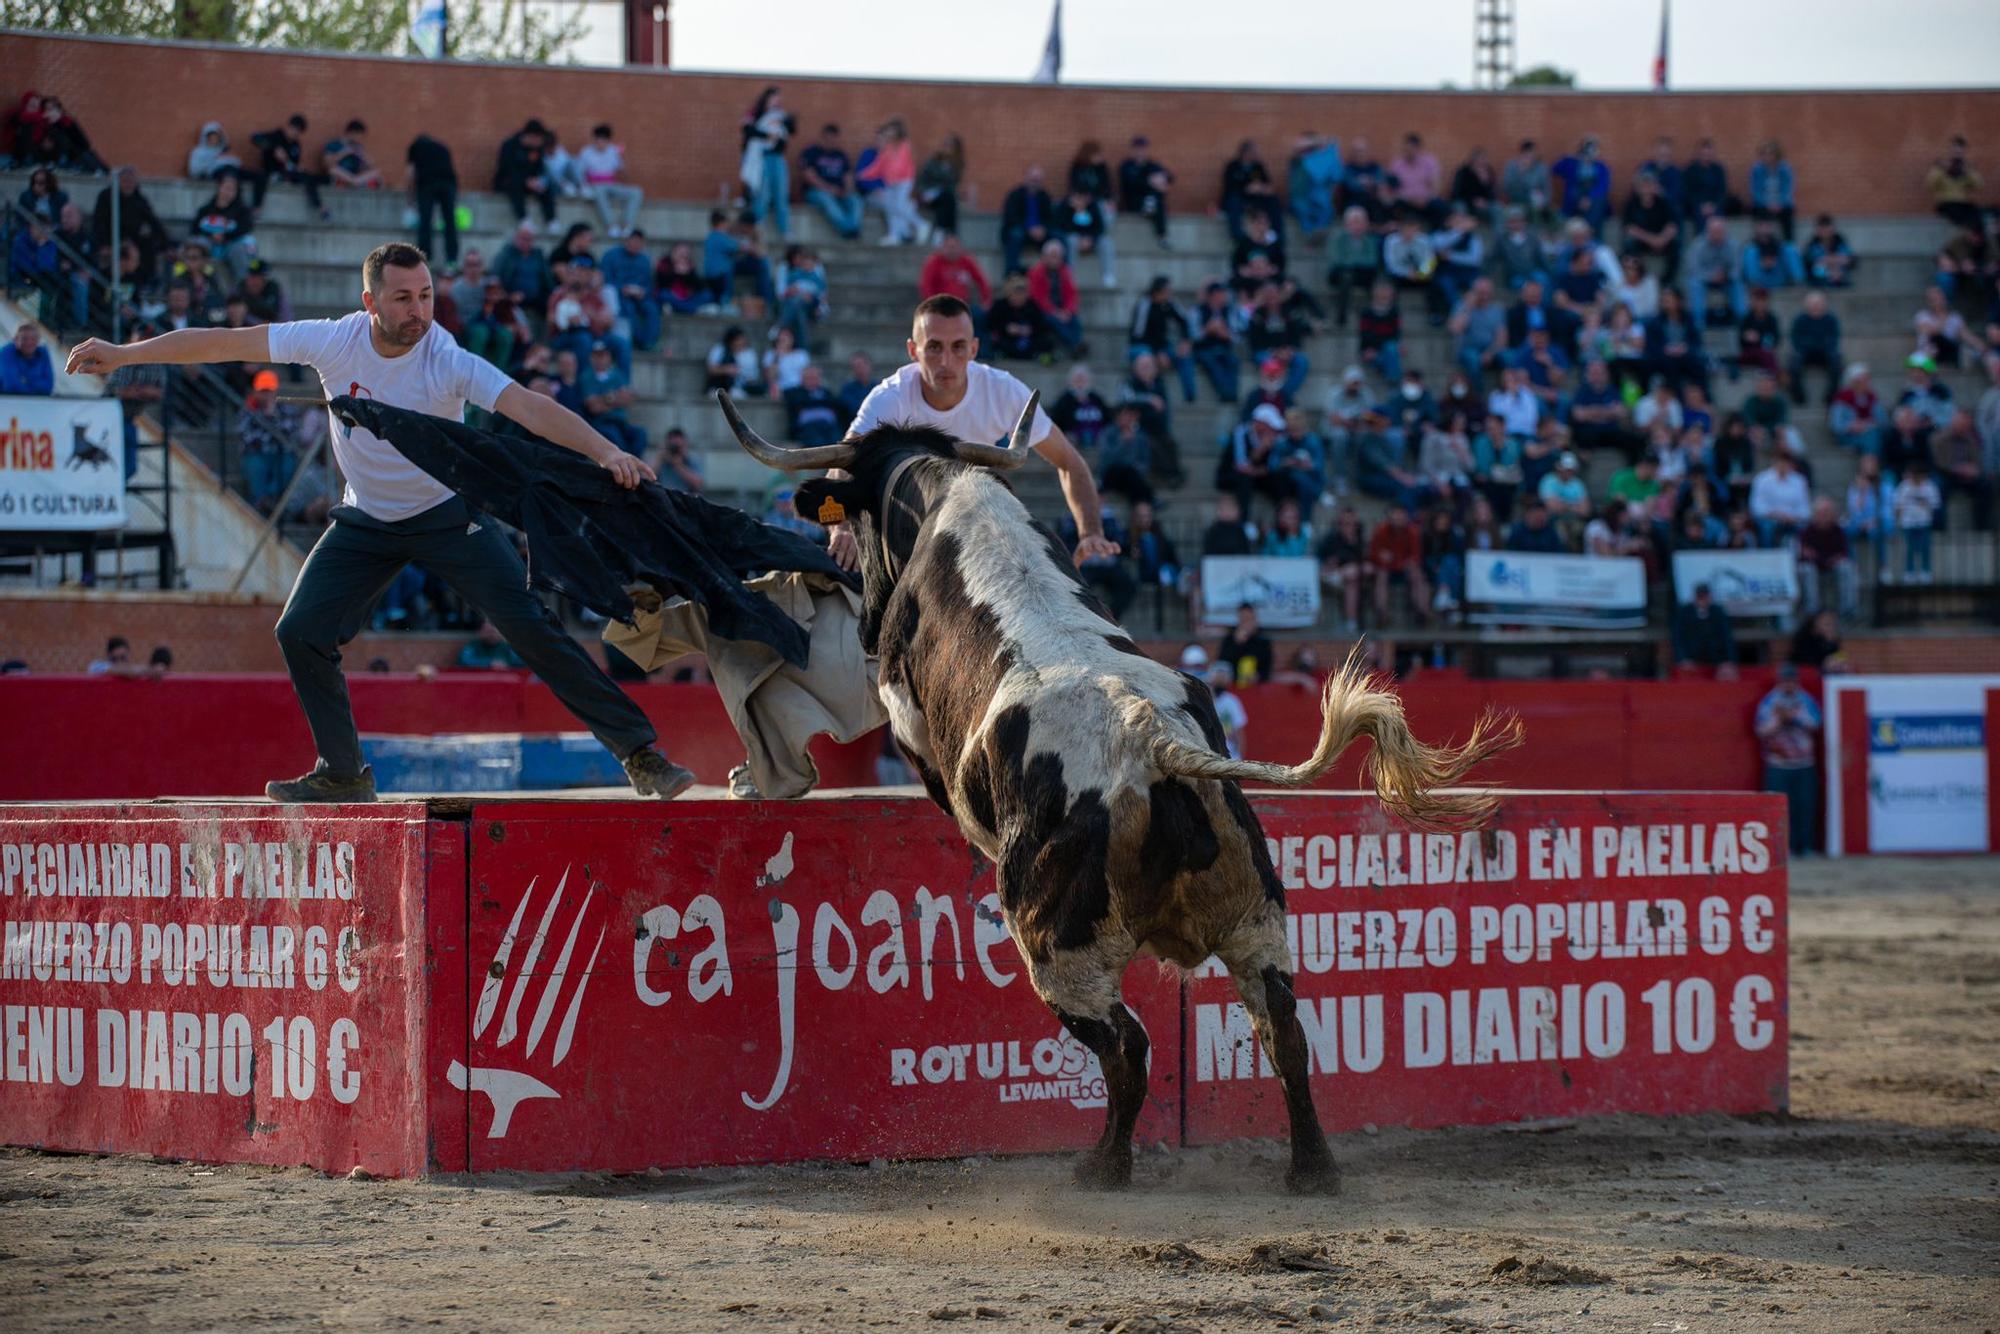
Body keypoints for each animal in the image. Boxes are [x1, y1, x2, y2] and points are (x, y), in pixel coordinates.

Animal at [720, 386, 1512, 1192]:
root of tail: (1149, 738)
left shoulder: (909, 719)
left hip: (1057, 945)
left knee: (1127, 1047)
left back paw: (1102, 1166)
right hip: (1256, 915)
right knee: (1284, 1029)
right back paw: (1311, 1168)